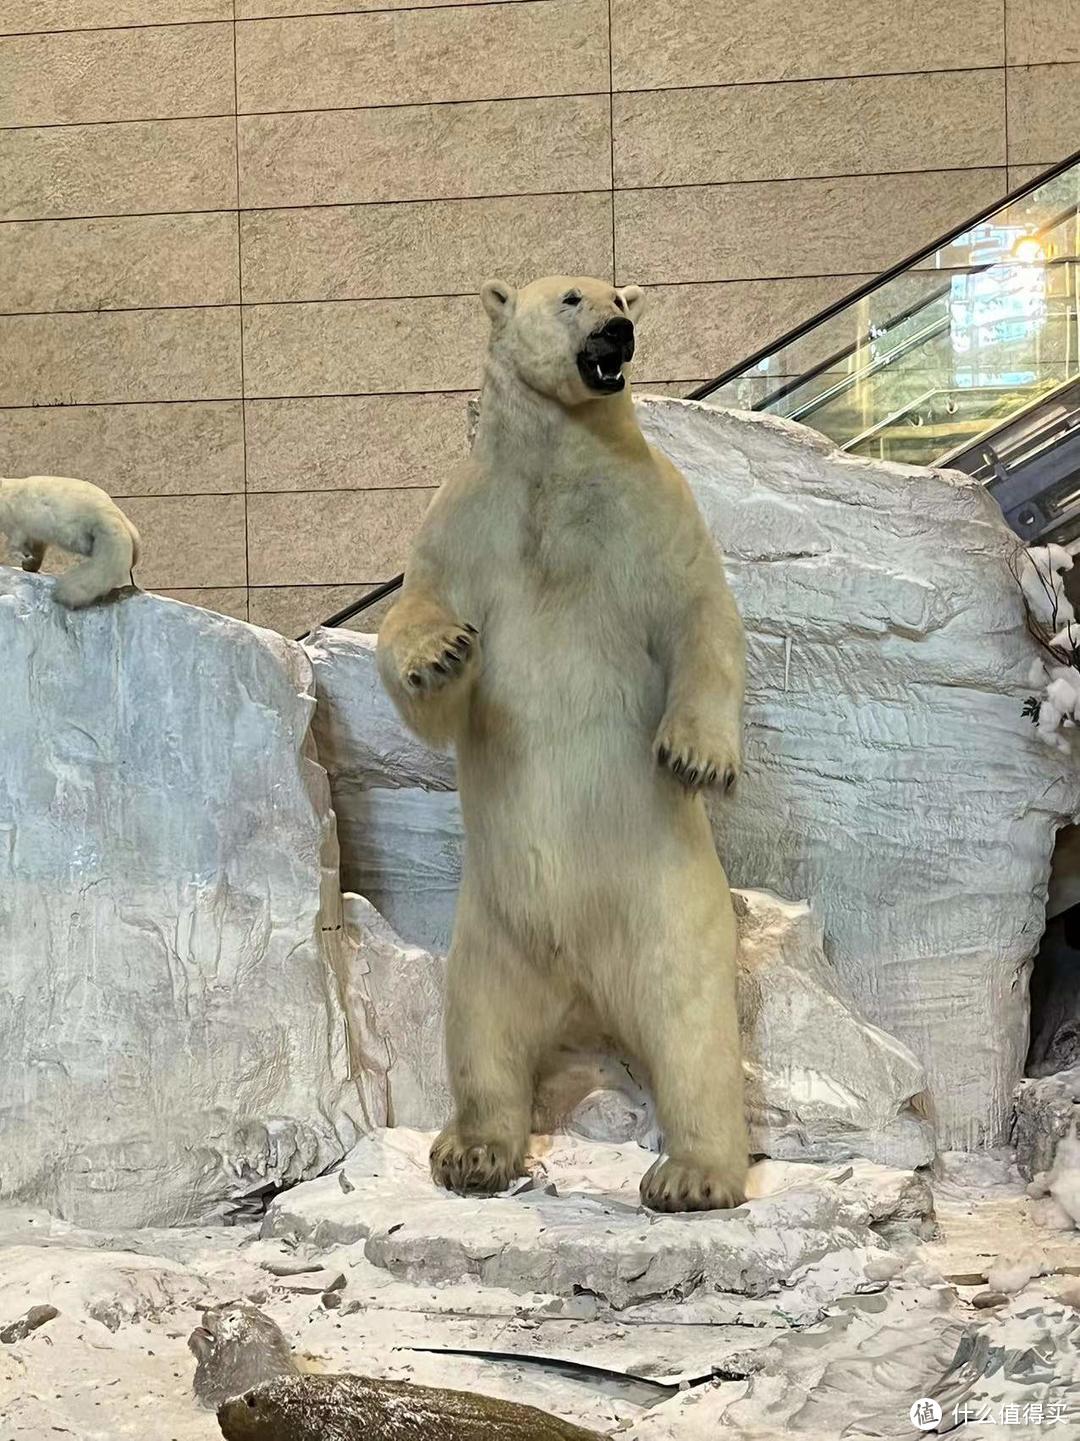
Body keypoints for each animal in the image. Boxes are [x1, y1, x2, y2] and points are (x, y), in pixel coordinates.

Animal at [0, 475, 141, 605]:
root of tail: (109, 512)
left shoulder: (17, 525)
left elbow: (15, 544)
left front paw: (20, 557)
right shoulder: (34, 533)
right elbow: (36, 549)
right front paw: (30, 565)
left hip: (70, 530)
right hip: (131, 532)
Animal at [374, 275, 744, 1210]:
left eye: (622, 295)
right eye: (574, 297)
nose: (620, 331)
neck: (557, 461)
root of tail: (586, 1002)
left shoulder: (654, 508)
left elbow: (701, 616)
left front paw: (695, 756)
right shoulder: (465, 517)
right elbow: (420, 618)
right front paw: (442, 654)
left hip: (664, 907)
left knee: (692, 1028)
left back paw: (693, 1173)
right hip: (493, 933)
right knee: (482, 1031)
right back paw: (474, 1151)